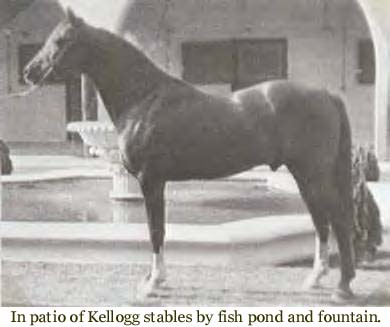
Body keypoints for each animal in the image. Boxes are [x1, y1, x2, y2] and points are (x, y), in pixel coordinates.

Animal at [23, 9, 356, 302]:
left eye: (61, 40)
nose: (29, 72)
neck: (144, 98)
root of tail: (326, 94)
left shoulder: (150, 180)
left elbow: (155, 230)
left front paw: (153, 284)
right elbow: (157, 230)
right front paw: (153, 280)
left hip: (313, 174)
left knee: (337, 219)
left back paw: (342, 288)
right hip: (305, 176)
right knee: (321, 221)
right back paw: (315, 279)